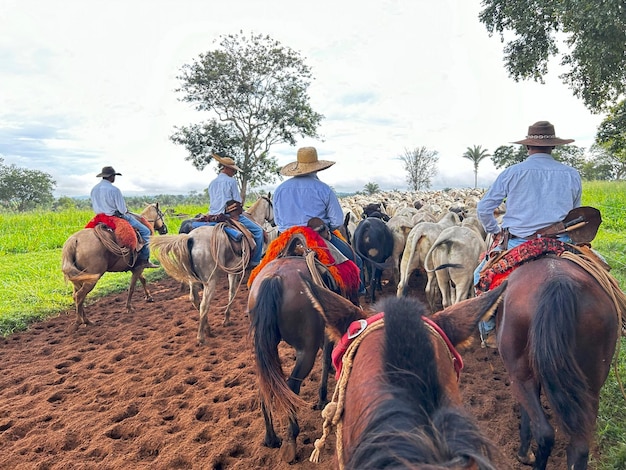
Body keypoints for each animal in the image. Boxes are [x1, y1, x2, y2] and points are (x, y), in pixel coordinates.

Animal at [246, 253, 358, 462]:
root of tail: (274, 278)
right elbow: (326, 358)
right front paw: (322, 399)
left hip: (266, 346)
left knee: (265, 386)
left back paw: (271, 438)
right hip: (306, 350)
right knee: (292, 386)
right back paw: (291, 438)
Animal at [492, 255, 620, 468]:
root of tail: (558, 281)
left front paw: (524, 455)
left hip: (519, 374)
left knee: (544, 432)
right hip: (591, 385)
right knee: (579, 445)